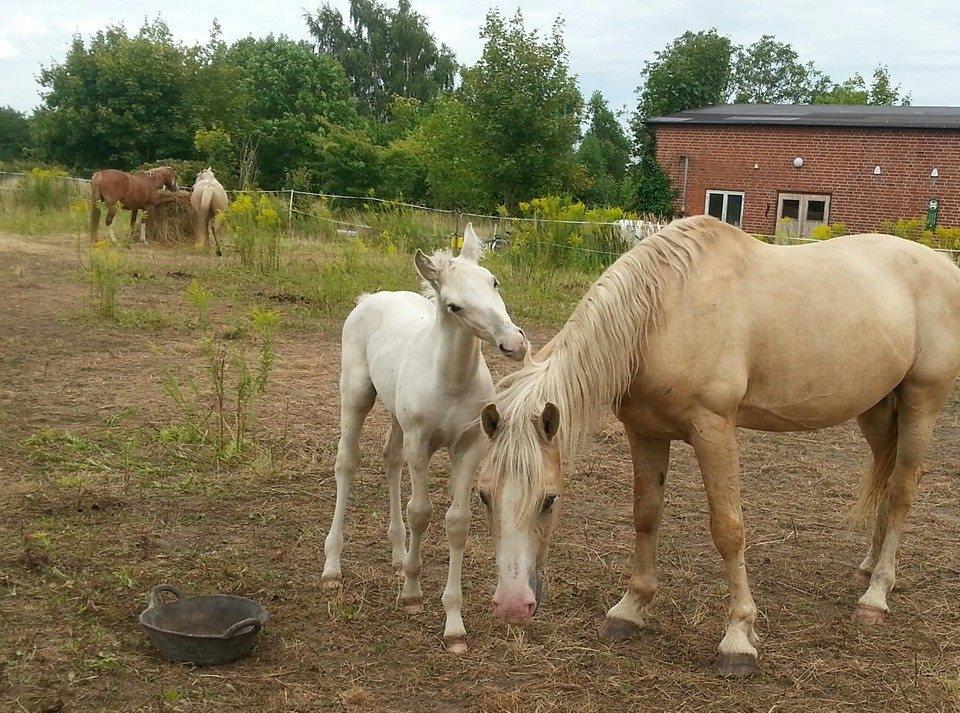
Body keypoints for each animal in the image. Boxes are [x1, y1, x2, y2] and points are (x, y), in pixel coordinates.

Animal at [326, 222, 528, 652]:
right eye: (453, 306)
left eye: (494, 281)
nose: (515, 343)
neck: (451, 381)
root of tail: (370, 298)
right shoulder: (420, 444)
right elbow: (420, 513)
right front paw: (413, 593)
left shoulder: (469, 447)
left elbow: (457, 522)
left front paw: (454, 623)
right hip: (356, 396)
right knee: (347, 463)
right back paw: (332, 568)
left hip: (397, 416)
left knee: (390, 459)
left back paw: (398, 554)